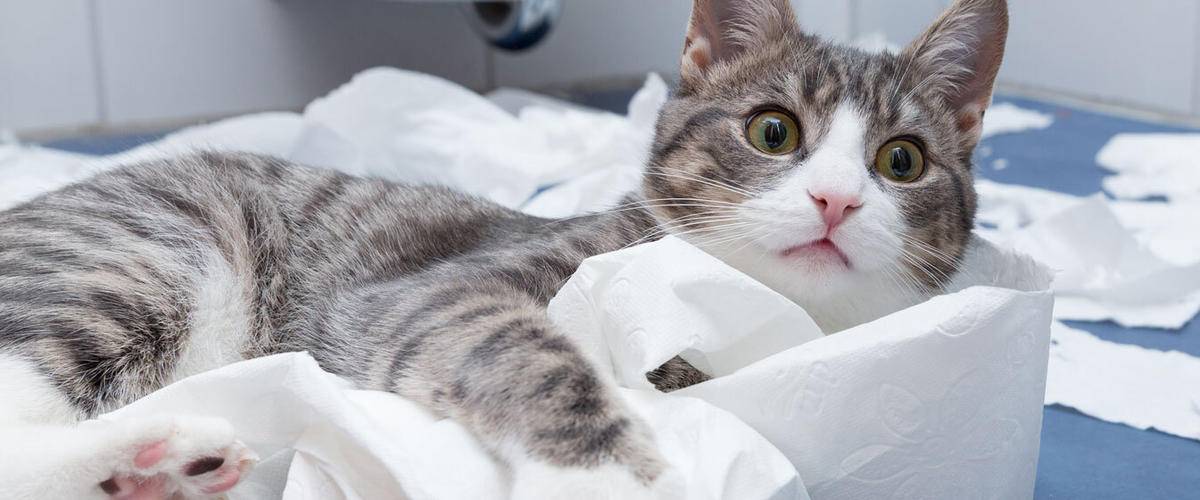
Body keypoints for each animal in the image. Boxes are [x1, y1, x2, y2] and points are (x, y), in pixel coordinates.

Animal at [0, 0, 1008, 496]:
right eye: (773, 132)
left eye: (902, 160)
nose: (837, 199)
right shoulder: (422, 294)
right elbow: (529, 353)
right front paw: (617, 474)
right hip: (151, 249)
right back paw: (159, 446)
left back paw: (154, 470)